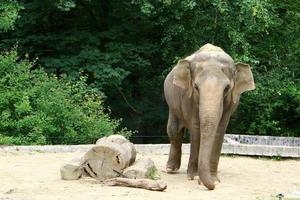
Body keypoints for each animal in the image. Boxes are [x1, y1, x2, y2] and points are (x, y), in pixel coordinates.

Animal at [163, 43, 254, 190]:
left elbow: (220, 129)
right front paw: (194, 177)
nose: (211, 185)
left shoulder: (231, 103)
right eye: (196, 87)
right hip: (172, 103)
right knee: (174, 130)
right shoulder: (188, 98)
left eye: (227, 88)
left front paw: (214, 180)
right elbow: (196, 127)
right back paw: (171, 169)